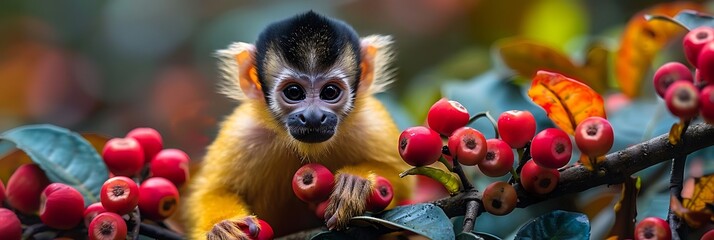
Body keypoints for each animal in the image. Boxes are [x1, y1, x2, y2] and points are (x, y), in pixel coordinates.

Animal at [185, 10, 412, 239]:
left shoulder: (370, 123)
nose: (313, 116)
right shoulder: (243, 134)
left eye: (330, 92)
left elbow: (403, 178)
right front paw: (221, 226)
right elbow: (212, 190)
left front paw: (356, 181)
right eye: (293, 92)